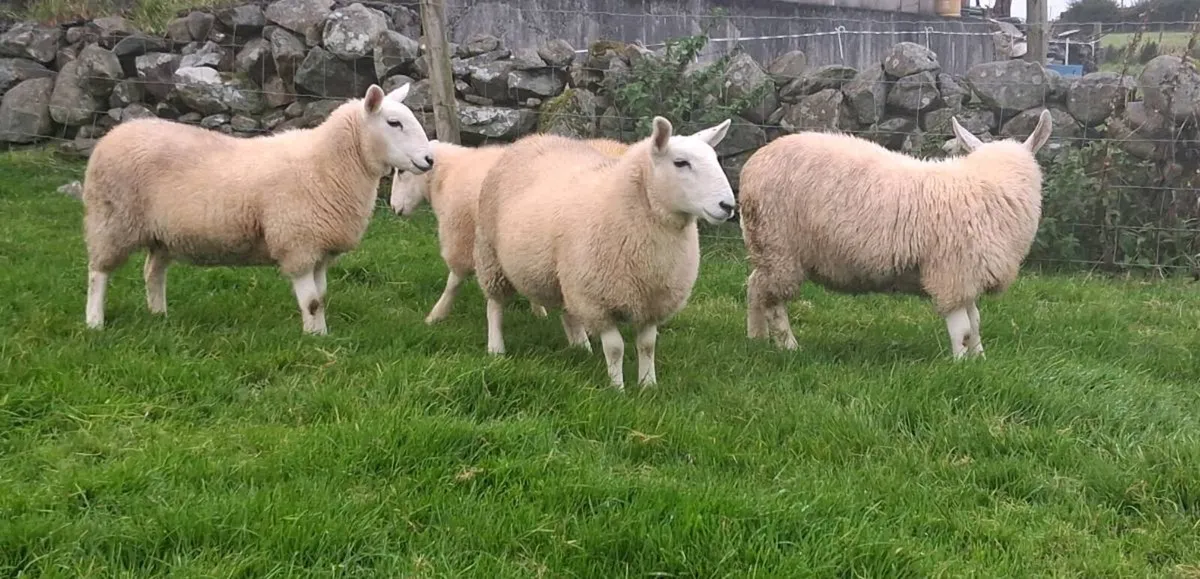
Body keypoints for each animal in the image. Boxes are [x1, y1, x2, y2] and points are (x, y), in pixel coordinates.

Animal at [81, 83, 433, 335]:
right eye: (394, 123)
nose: (430, 159)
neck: (329, 163)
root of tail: (113, 134)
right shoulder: (297, 243)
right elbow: (312, 301)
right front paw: (315, 339)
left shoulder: (320, 248)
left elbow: (321, 297)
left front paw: (322, 334)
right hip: (111, 219)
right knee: (98, 273)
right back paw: (95, 322)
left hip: (163, 233)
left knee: (152, 272)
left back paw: (159, 315)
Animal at [389, 137, 631, 325]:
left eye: (401, 171)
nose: (393, 207)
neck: (447, 176)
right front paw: (539, 311)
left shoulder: (460, 236)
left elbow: (453, 281)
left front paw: (436, 315)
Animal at [473, 117, 736, 389]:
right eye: (681, 162)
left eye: (715, 159)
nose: (728, 206)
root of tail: (532, 138)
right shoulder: (598, 300)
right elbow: (615, 348)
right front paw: (617, 388)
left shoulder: (651, 300)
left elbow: (648, 345)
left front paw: (648, 385)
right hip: (490, 254)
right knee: (494, 305)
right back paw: (496, 348)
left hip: (565, 275)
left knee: (568, 311)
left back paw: (580, 347)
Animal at [738, 109, 1053, 358]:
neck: (988, 185)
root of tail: (753, 164)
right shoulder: (950, 274)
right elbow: (962, 328)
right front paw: (961, 364)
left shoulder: (967, 275)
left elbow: (975, 322)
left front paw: (979, 359)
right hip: (779, 245)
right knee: (773, 300)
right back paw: (788, 346)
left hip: (767, 248)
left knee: (755, 286)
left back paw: (756, 338)